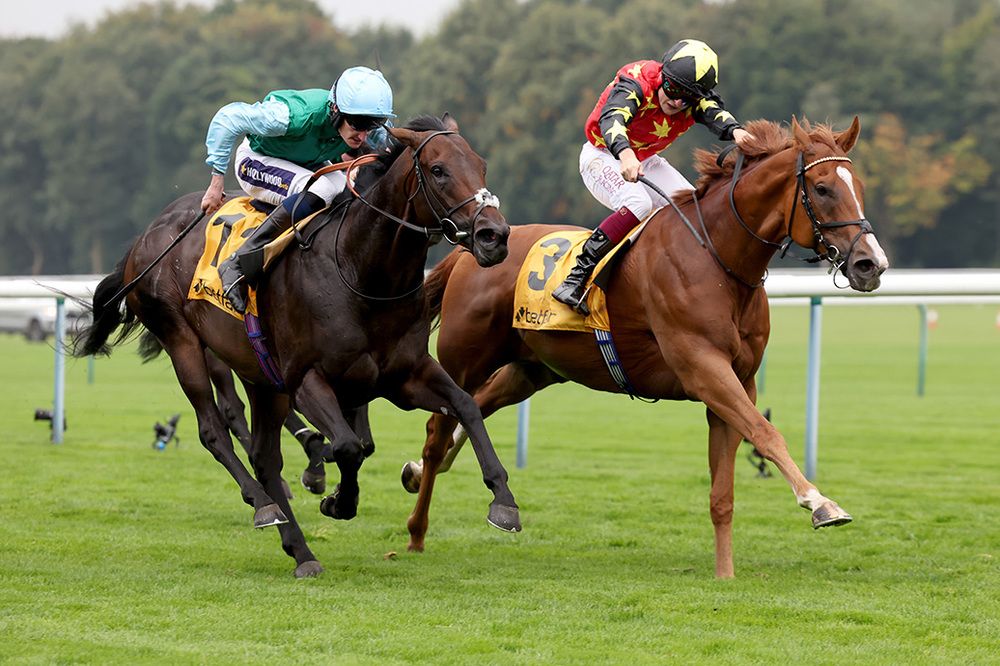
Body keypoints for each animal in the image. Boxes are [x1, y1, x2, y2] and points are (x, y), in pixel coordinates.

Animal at [74, 115, 520, 576]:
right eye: (438, 170)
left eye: (482, 166)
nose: (494, 235)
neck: (361, 271)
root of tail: (146, 236)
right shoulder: (306, 379)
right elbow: (348, 446)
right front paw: (337, 500)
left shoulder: (405, 375)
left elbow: (464, 407)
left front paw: (503, 502)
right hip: (183, 341)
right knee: (215, 431)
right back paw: (264, 505)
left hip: (260, 375)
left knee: (264, 457)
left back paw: (300, 550)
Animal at [402, 116, 888, 572]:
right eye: (822, 188)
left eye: (859, 187)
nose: (871, 264)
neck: (717, 258)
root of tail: (470, 249)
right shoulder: (703, 368)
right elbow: (766, 433)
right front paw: (821, 503)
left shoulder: (739, 381)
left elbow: (724, 490)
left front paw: (725, 574)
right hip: (465, 359)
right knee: (438, 430)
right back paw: (416, 531)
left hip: (533, 369)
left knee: (472, 412)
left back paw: (419, 473)